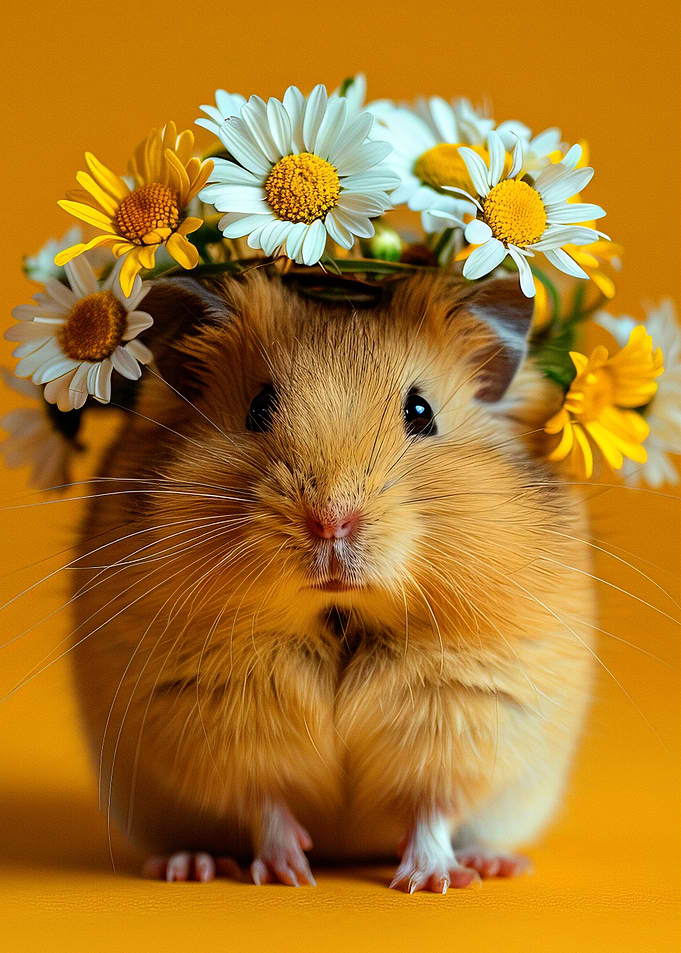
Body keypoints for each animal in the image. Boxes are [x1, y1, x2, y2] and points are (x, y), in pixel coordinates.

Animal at [70, 271, 595, 892]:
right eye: (258, 408)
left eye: (421, 411)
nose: (331, 521)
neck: (340, 613)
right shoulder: (215, 719)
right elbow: (264, 802)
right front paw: (289, 874)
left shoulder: (466, 710)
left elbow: (431, 807)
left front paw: (430, 881)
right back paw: (192, 866)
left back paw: (493, 864)